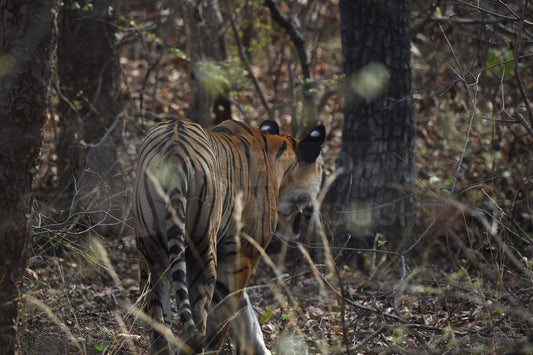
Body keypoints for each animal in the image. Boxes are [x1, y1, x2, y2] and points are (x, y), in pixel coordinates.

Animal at [133, 118, 324, 354]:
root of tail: (175, 152)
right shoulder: (243, 251)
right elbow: (228, 307)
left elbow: (243, 310)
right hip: (201, 249)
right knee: (197, 320)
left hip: (150, 252)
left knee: (159, 322)